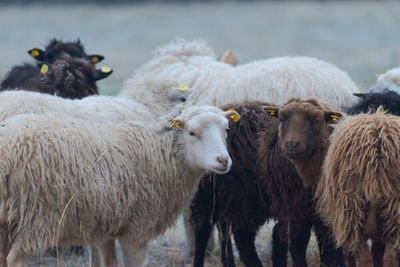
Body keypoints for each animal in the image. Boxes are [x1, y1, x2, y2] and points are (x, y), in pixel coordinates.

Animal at [0, 103, 238, 266]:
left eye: (226, 130)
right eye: (192, 132)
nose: (223, 160)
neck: (158, 153)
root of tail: (9, 151)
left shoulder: (104, 227)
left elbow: (107, 263)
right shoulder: (137, 228)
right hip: (37, 217)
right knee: (15, 259)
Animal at [189, 101, 346, 266]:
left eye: (317, 120)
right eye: (281, 119)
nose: (291, 145)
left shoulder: (322, 215)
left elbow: (329, 248)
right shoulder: (294, 210)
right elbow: (297, 245)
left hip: (243, 200)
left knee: (242, 238)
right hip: (211, 195)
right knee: (203, 231)